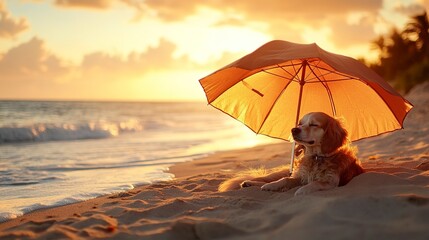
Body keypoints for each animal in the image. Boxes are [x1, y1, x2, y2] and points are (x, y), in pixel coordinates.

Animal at [219, 112, 362, 195]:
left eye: (314, 124)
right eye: (300, 123)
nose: (294, 129)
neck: (316, 157)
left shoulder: (331, 181)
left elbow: (315, 183)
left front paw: (302, 190)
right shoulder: (299, 177)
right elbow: (285, 179)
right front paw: (273, 186)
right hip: (280, 173)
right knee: (268, 178)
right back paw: (254, 183)